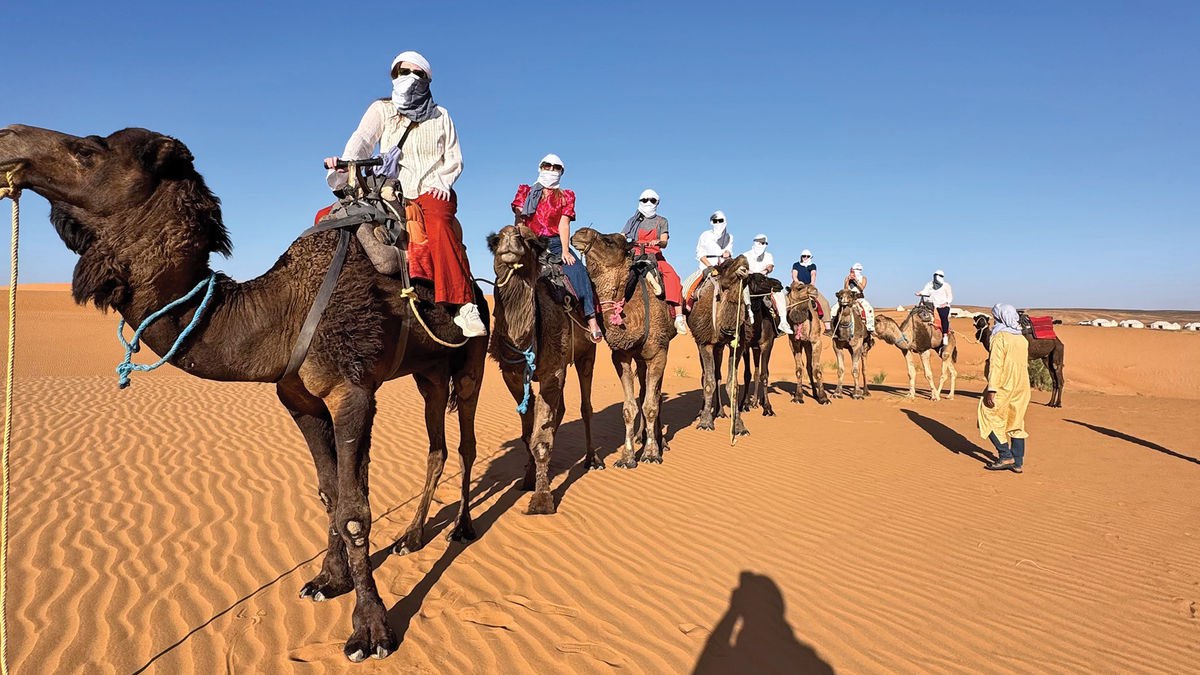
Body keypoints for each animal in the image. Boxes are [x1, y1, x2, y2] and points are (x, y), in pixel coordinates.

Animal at [0, 125, 490, 662]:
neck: (279, 310)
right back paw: (414, 536)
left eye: (87, 149)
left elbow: (354, 511)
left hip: (471, 361)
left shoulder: (352, 388)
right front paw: (327, 581)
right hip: (428, 372)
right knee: (436, 445)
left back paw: (462, 528)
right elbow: (330, 493)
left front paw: (372, 630)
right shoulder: (300, 399)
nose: (8, 140)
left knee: (465, 442)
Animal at [486, 225, 600, 514]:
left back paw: (592, 458)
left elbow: (540, 440)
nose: (510, 240)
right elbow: (529, 435)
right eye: (495, 240)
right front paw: (528, 480)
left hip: (586, 353)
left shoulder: (552, 372)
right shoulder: (512, 375)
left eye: (529, 241)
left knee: (586, 405)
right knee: (559, 410)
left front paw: (542, 500)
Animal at [570, 228, 674, 468]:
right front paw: (627, 457)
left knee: (655, 395)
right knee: (644, 390)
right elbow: (629, 408)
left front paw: (651, 454)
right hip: (640, 358)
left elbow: (652, 405)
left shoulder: (659, 353)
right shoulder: (621, 356)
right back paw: (640, 436)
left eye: (609, 241)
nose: (580, 233)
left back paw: (660, 441)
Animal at [687, 256, 751, 435]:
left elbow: (733, 384)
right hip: (701, 342)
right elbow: (708, 383)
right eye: (726, 265)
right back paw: (703, 411)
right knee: (706, 376)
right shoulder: (705, 342)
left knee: (718, 375)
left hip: (720, 347)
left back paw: (720, 412)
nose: (743, 258)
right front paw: (705, 422)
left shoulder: (737, 345)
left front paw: (739, 425)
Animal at [736, 273, 783, 416]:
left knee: (763, 371)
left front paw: (768, 407)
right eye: (761, 279)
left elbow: (764, 375)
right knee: (756, 371)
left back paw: (759, 401)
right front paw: (744, 404)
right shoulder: (746, 346)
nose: (779, 283)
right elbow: (747, 374)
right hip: (754, 348)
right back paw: (754, 402)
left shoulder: (767, 344)